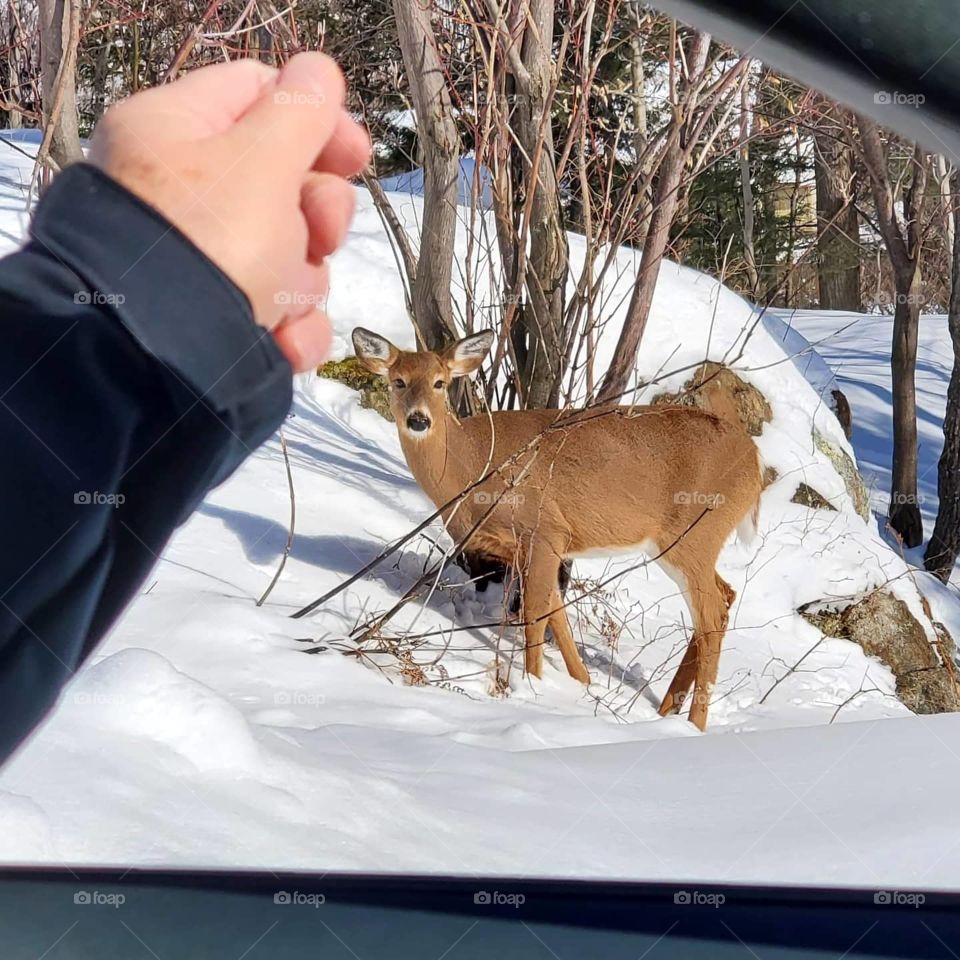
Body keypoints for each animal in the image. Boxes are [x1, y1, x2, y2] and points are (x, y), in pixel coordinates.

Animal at [352, 327, 763, 730]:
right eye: (398, 381)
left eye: (439, 382)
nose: (418, 420)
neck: (471, 466)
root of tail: (755, 462)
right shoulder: (529, 548)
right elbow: (554, 609)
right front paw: (581, 681)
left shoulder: (545, 528)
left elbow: (534, 614)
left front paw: (533, 685)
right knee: (725, 596)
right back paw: (665, 711)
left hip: (694, 535)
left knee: (711, 614)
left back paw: (694, 723)